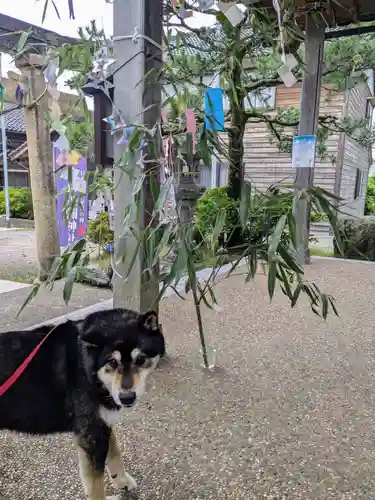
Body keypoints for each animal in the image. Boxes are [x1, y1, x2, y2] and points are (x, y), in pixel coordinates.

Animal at [0, 306, 166, 498]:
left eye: (140, 359)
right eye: (111, 362)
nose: (127, 397)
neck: (87, 368)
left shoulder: (102, 423)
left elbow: (115, 451)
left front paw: (121, 480)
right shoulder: (91, 434)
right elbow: (95, 483)